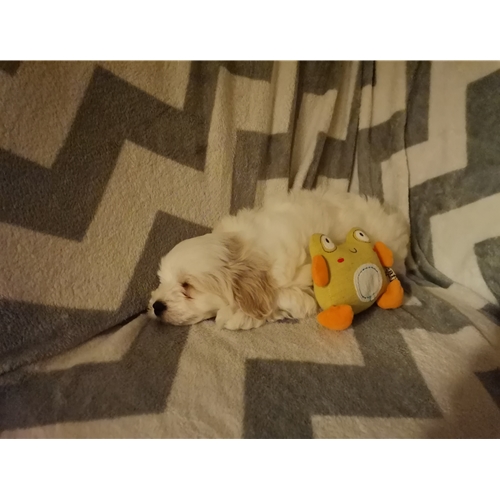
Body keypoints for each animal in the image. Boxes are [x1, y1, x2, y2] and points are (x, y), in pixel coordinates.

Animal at [148, 187, 409, 330]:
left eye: (187, 286)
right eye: (162, 281)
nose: (156, 306)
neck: (248, 250)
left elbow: (281, 298)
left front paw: (237, 315)